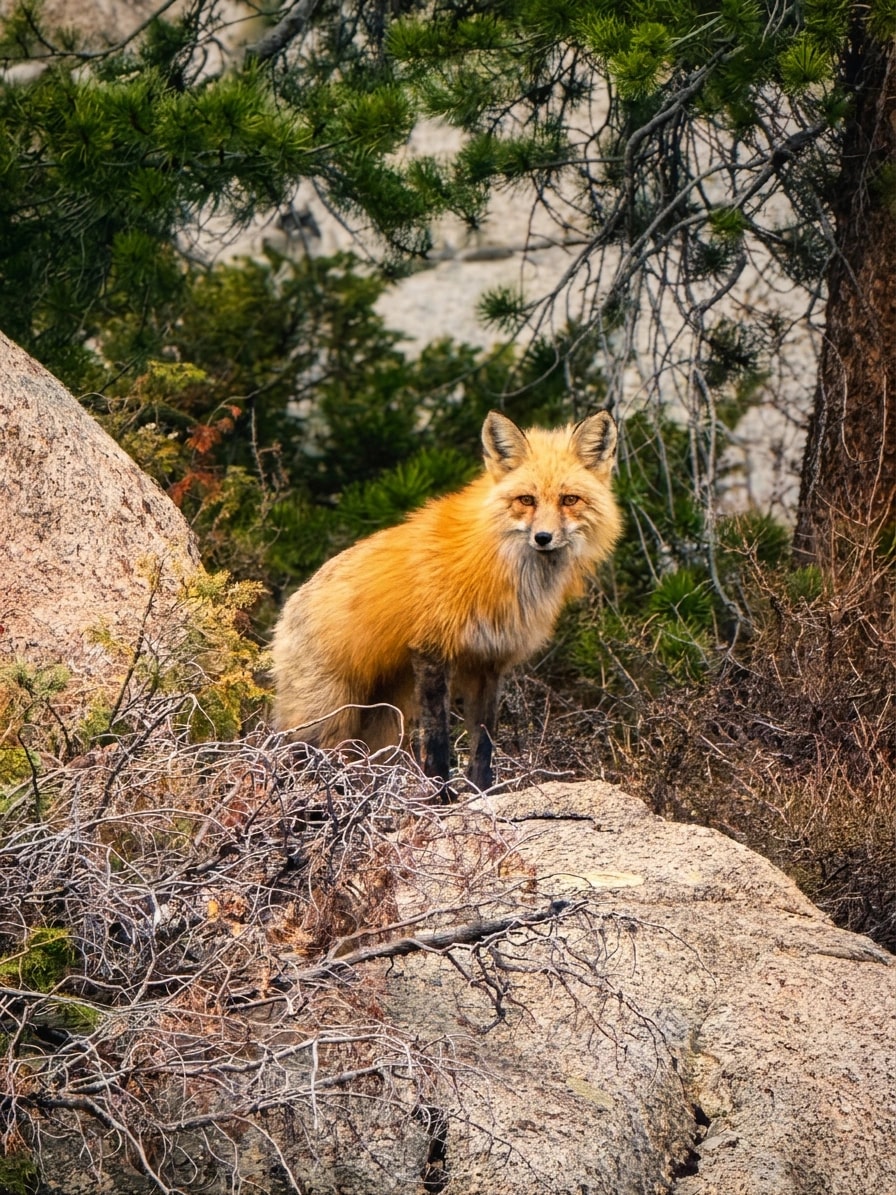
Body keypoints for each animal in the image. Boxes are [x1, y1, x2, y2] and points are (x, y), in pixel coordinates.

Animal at [271, 410, 622, 790]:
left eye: (569, 500)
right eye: (526, 500)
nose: (543, 538)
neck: (498, 566)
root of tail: (285, 613)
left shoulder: (489, 661)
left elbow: (484, 744)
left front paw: (481, 793)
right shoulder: (432, 649)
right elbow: (438, 741)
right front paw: (440, 796)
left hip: (381, 724)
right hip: (326, 718)